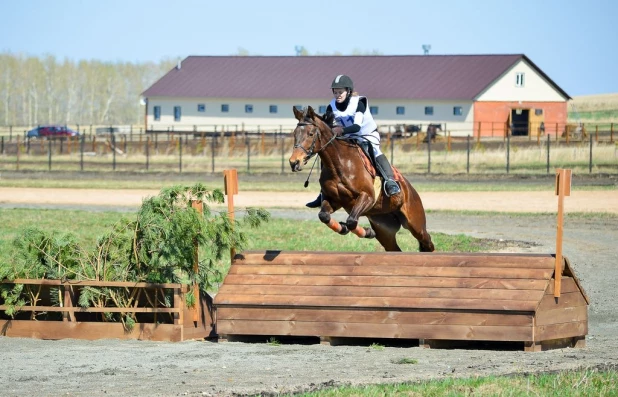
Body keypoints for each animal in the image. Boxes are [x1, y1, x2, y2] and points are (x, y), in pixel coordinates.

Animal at [288, 106, 434, 251]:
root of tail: (410, 190)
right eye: (295, 134)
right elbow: (324, 216)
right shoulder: (334, 200)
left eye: (311, 134)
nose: (294, 162)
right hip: (384, 229)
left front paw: (365, 231)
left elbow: (351, 221)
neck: (339, 164)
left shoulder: (367, 196)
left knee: (427, 242)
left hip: (415, 224)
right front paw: (346, 229)